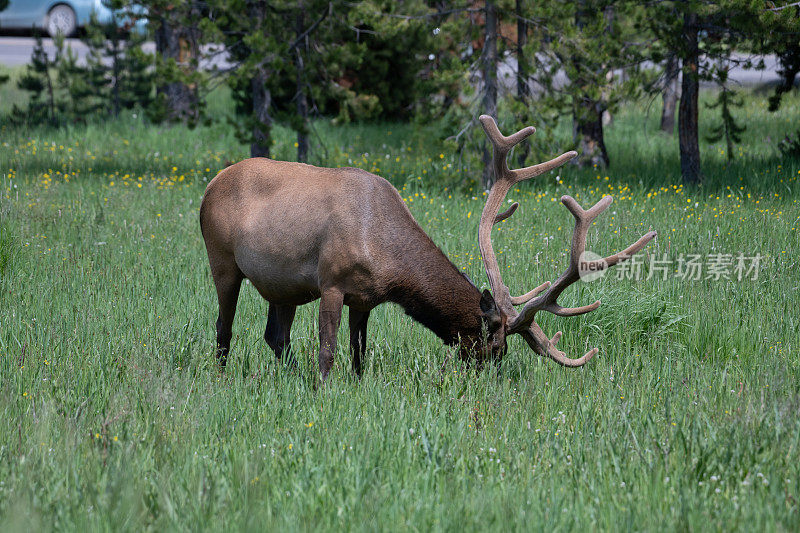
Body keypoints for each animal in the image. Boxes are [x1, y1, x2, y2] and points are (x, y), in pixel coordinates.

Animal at [198, 115, 656, 382]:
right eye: (495, 344)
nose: (490, 377)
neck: (388, 258)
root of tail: (210, 184)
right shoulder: (331, 283)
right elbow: (328, 352)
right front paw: (323, 390)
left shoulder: (364, 298)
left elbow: (359, 354)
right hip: (223, 262)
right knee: (224, 328)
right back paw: (221, 376)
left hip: (284, 287)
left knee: (275, 336)